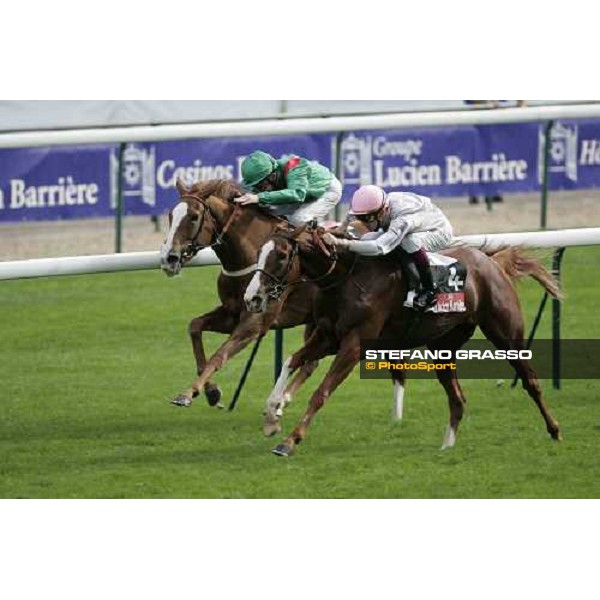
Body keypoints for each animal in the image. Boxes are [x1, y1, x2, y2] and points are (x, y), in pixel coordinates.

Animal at [157, 178, 322, 410]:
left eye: (194, 216)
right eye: (171, 216)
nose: (168, 259)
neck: (250, 257)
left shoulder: (254, 323)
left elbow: (220, 355)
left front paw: (187, 393)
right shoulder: (231, 312)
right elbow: (195, 326)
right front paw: (211, 391)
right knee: (311, 362)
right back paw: (282, 400)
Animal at [244, 224, 564, 454]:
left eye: (281, 256)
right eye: (259, 252)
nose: (252, 298)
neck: (346, 277)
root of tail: (489, 261)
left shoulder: (355, 343)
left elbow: (321, 392)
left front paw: (289, 440)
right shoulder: (327, 335)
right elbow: (290, 361)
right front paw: (272, 416)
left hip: (506, 334)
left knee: (530, 381)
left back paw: (555, 430)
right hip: (443, 347)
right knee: (457, 398)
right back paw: (446, 447)